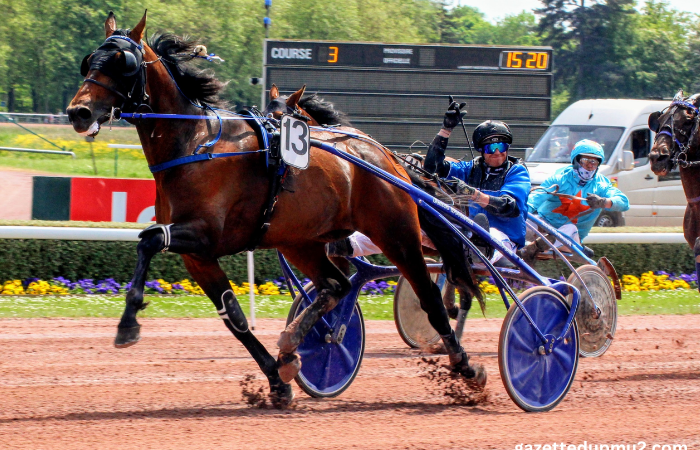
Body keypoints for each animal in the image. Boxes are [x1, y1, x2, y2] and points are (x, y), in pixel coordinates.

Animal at [65, 11, 482, 404]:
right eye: (89, 62)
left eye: (122, 62)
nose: (78, 113)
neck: (195, 145)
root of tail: (387, 158)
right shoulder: (198, 255)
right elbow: (233, 316)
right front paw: (277, 381)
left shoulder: (204, 234)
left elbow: (149, 239)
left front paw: (128, 323)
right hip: (300, 241)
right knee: (337, 284)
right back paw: (292, 344)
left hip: (396, 232)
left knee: (428, 296)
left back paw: (465, 367)